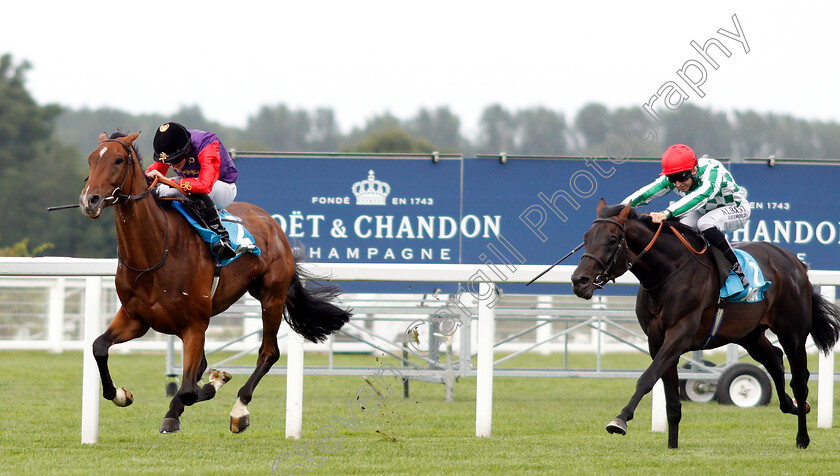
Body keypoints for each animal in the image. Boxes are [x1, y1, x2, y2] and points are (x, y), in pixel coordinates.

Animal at [79, 131, 352, 436]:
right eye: (91, 159)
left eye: (118, 160)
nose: (89, 200)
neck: (157, 251)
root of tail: (273, 224)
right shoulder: (135, 318)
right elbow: (99, 347)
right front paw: (121, 395)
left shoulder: (195, 325)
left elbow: (190, 389)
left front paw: (216, 382)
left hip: (272, 297)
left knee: (268, 352)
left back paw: (239, 410)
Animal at [572, 199, 840, 448]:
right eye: (586, 237)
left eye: (612, 239)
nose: (579, 280)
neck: (669, 273)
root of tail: (795, 262)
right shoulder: (656, 341)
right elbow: (671, 399)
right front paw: (672, 445)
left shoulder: (679, 335)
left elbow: (647, 378)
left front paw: (620, 420)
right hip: (750, 334)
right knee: (774, 358)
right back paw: (792, 406)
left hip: (792, 331)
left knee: (799, 381)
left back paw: (802, 436)